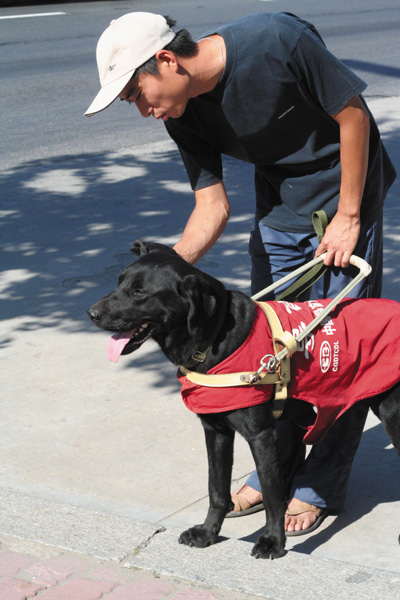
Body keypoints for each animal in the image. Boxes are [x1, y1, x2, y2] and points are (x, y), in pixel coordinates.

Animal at [87, 239, 400, 556]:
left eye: (140, 292)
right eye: (119, 282)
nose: (92, 313)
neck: (215, 338)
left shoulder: (260, 435)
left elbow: (272, 495)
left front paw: (273, 540)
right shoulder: (216, 431)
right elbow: (216, 488)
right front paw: (208, 533)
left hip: (392, 416)